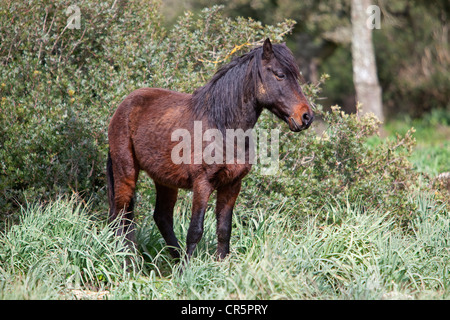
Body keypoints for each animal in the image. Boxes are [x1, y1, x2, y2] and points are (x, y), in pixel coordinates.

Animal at [107, 38, 314, 262]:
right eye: (280, 74)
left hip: (165, 180)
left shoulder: (232, 185)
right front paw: (188, 269)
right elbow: (195, 231)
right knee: (120, 215)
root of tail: (123, 106)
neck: (222, 126)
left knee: (161, 217)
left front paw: (220, 265)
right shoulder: (202, 184)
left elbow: (224, 230)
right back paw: (124, 260)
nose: (306, 117)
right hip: (126, 171)